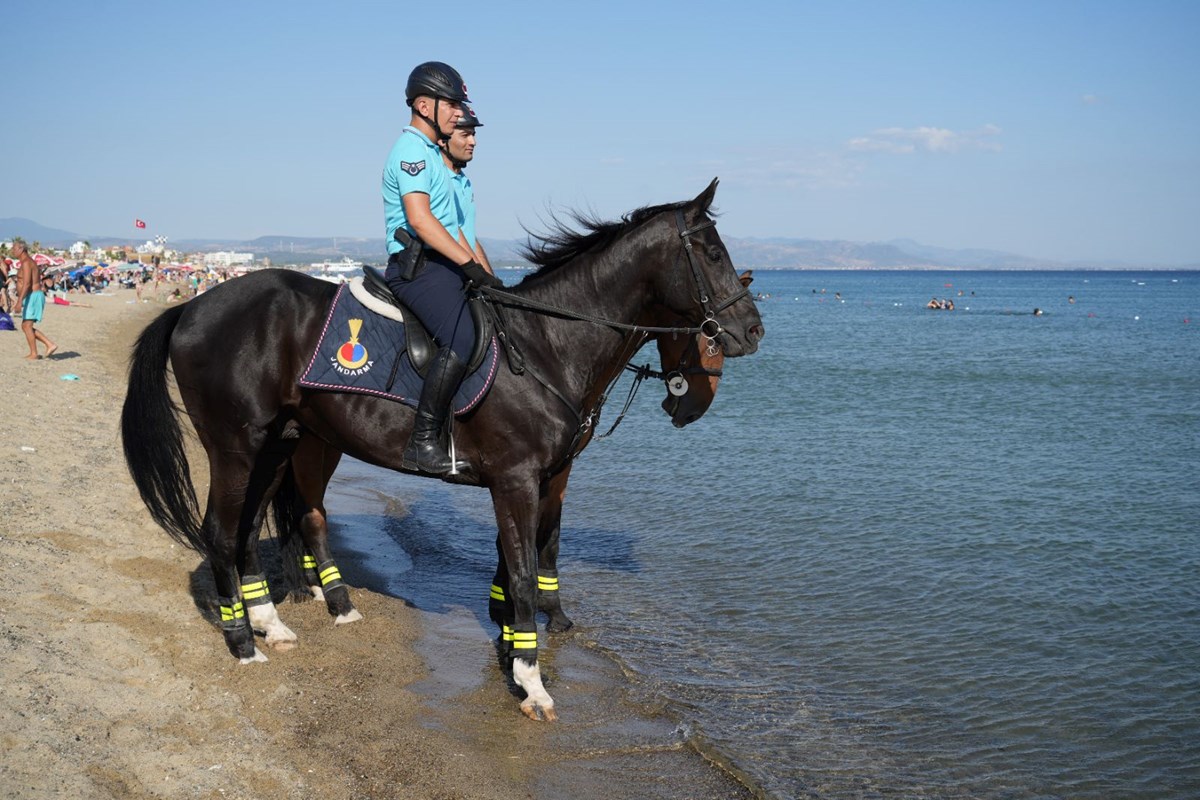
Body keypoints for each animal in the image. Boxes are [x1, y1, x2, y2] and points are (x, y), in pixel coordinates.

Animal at [119, 179, 758, 719]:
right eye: (712, 252)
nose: (752, 330)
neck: (548, 343)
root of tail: (191, 305)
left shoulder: (545, 476)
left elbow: (528, 557)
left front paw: (513, 643)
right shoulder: (516, 480)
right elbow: (523, 572)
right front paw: (531, 680)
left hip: (281, 444)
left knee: (253, 526)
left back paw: (273, 623)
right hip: (236, 446)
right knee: (221, 530)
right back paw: (241, 643)